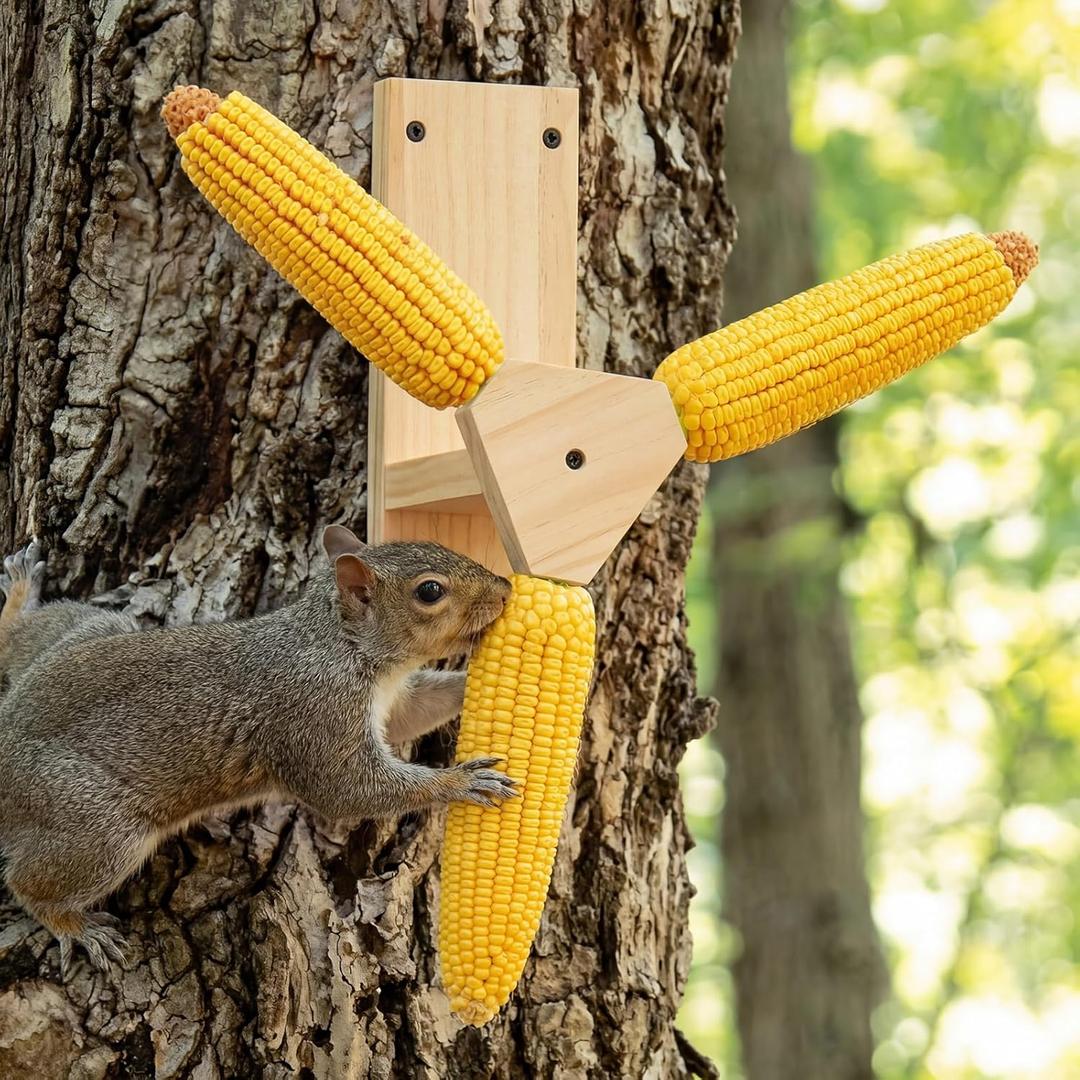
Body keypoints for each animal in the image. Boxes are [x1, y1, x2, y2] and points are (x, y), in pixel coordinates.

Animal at [0, 526, 516, 976]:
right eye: (429, 591)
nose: (506, 589)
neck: (339, 643)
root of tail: (8, 725)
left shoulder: (391, 701)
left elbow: (418, 708)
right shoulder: (314, 713)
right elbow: (348, 790)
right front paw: (462, 781)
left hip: (88, 630)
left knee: (21, 640)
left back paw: (21, 594)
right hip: (96, 826)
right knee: (28, 885)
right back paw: (75, 927)